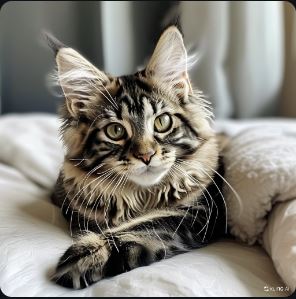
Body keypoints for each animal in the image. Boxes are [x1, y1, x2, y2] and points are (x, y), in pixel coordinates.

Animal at [47, 25, 227, 290]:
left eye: (162, 122)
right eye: (115, 131)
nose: (146, 155)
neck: (142, 195)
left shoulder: (201, 210)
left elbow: (148, 223)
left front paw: (89, 253)